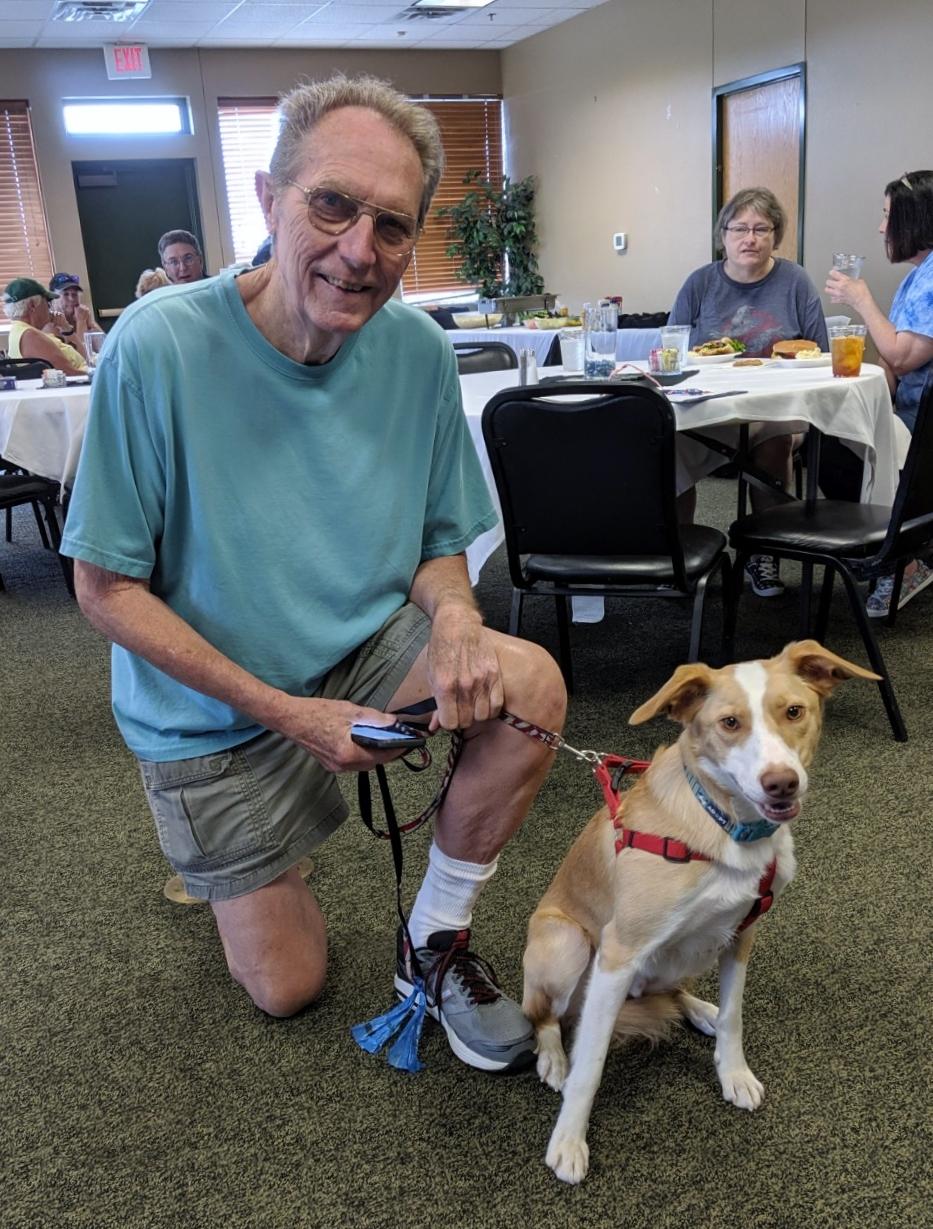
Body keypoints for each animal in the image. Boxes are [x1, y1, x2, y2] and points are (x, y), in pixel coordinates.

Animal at [522, 640, 879, 1184]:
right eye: (729, 723)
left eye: (794, 712)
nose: (781, 784)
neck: (728, 827)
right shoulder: (618, 953)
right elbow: (592, 1064)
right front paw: (568, 1139)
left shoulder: (742, 934)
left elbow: (734, 1016)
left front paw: (733, 1073)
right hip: (567, 943)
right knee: (544, 1014)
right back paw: (554, 1059)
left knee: (670, 991)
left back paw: (698, 1009)